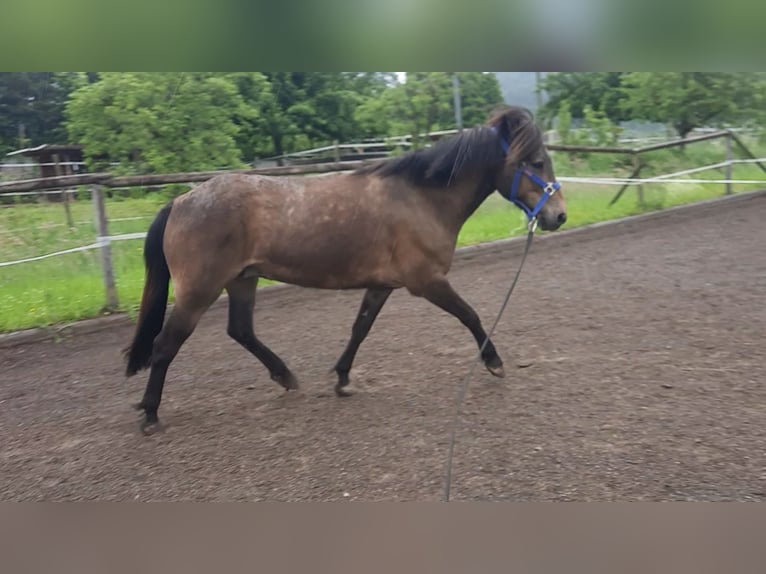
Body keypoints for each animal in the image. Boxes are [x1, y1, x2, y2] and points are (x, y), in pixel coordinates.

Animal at [126, 106, 568, 434]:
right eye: (535, 161)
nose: (559, 216)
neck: (420, 198)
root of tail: (180, 202)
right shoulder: (427, 282)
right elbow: (471, 315)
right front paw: (494, 362)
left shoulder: (383, 285)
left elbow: (360, 328)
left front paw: (341, 378)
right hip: (199, 290)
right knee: (166, 345)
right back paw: (150, 414)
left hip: (242, 280)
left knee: (241, 331)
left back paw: (285, 376)